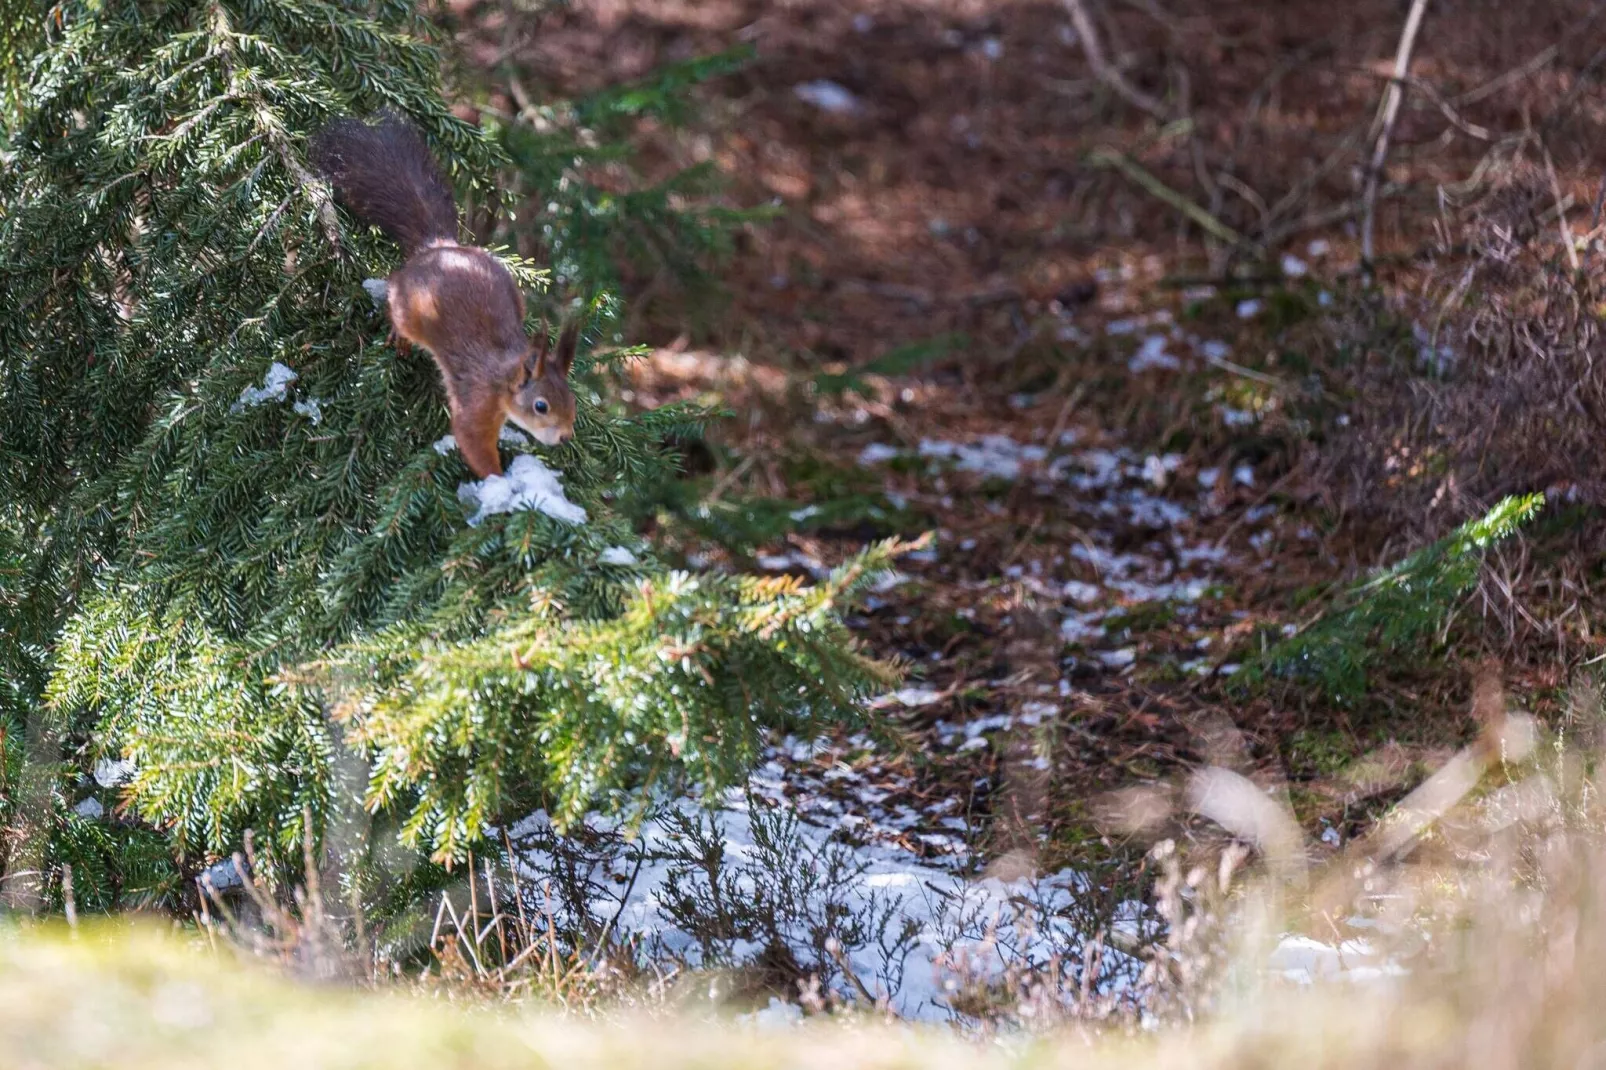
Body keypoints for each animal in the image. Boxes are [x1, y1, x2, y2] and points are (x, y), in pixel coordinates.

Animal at [306, 110, 578, 472]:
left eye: (571, 400)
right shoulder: (477, 399)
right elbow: (471, 439)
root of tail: (437, 247)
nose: (565, 437)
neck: (505, 375)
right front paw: (498, 479)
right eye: (541, 406)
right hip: (409, 306)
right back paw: (399, 335)